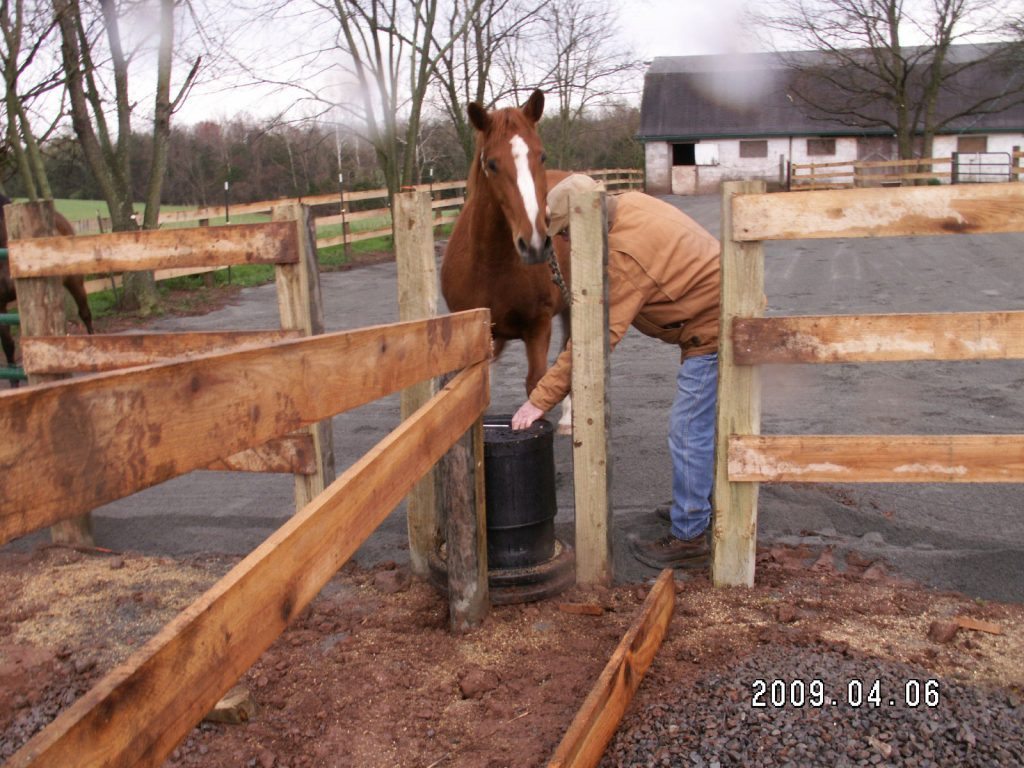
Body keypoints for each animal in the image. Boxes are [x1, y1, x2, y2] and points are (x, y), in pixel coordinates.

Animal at [436, 89, 573, 430]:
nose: (534, 243)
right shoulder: (480, 336)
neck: (492, 266)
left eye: (541, 156)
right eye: (492, 164)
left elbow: (536, 384)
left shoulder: (537, 328)